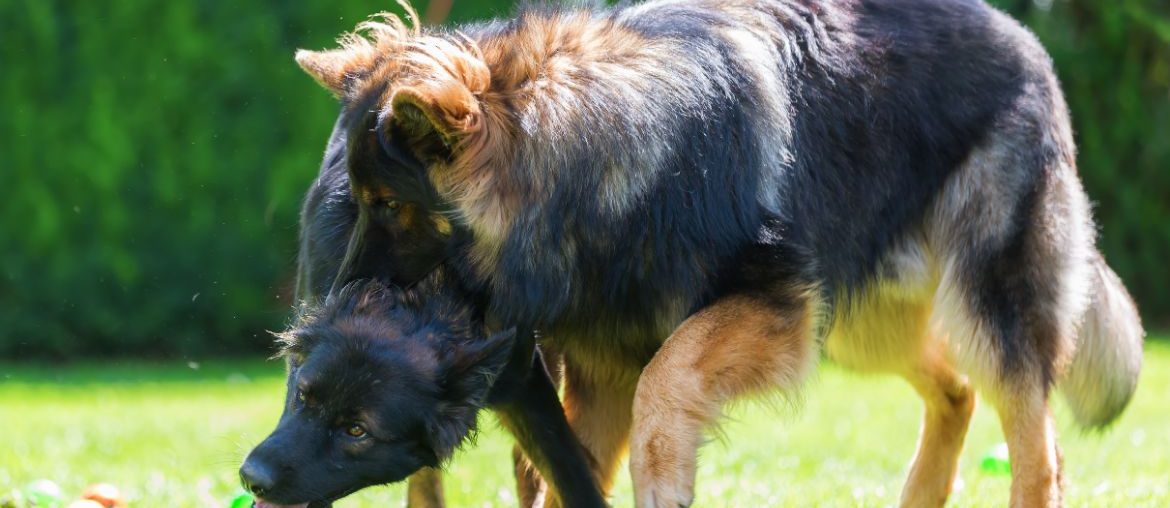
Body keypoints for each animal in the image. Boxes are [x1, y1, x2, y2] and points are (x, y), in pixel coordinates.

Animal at [267, 0, 1141, 505]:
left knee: (1034, 446)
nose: (322, 311)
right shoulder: (600, 365)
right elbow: (573, 473)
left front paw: (665, 483)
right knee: (955, 391)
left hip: (985, 303)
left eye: (390, 205)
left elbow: (665, 388)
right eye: (358, 202)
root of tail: (1025, 38)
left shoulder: (768, 308)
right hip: (861, 321)